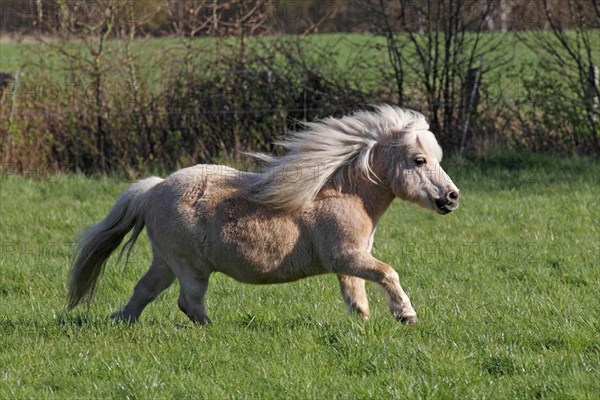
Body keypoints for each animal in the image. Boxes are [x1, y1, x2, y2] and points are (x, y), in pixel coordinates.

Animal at [67, 106, 460, 324]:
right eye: (419, 160)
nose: (452, 198)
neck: (343, 194)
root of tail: (153, 188)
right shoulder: (347, 257)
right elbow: (388, 274)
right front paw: (406, 315)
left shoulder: (348, 262)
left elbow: (357, 300)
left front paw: (364, 329)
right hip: (190, 267)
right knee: (188, 302)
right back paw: (214, 329)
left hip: (166, 262)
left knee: (143, 292)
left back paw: (119, 322)